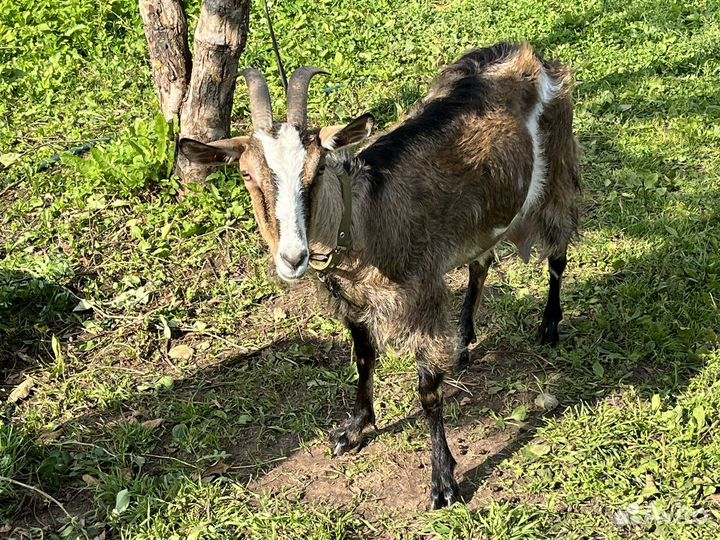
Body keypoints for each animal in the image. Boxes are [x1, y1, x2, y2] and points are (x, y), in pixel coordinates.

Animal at [179, 42, 581, 509]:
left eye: (317, 170)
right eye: (247, 174)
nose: (293, 258)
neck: (365, 216)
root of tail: (530, 54)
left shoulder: (423, 293)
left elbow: (428, 392)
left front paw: (444, 482)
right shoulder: (351, 301)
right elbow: (363, 358)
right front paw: (355, 429)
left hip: (557, 174)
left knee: (557, 253)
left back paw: (550, 325)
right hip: (481, 218)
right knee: (480, 263)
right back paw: (464, 341)